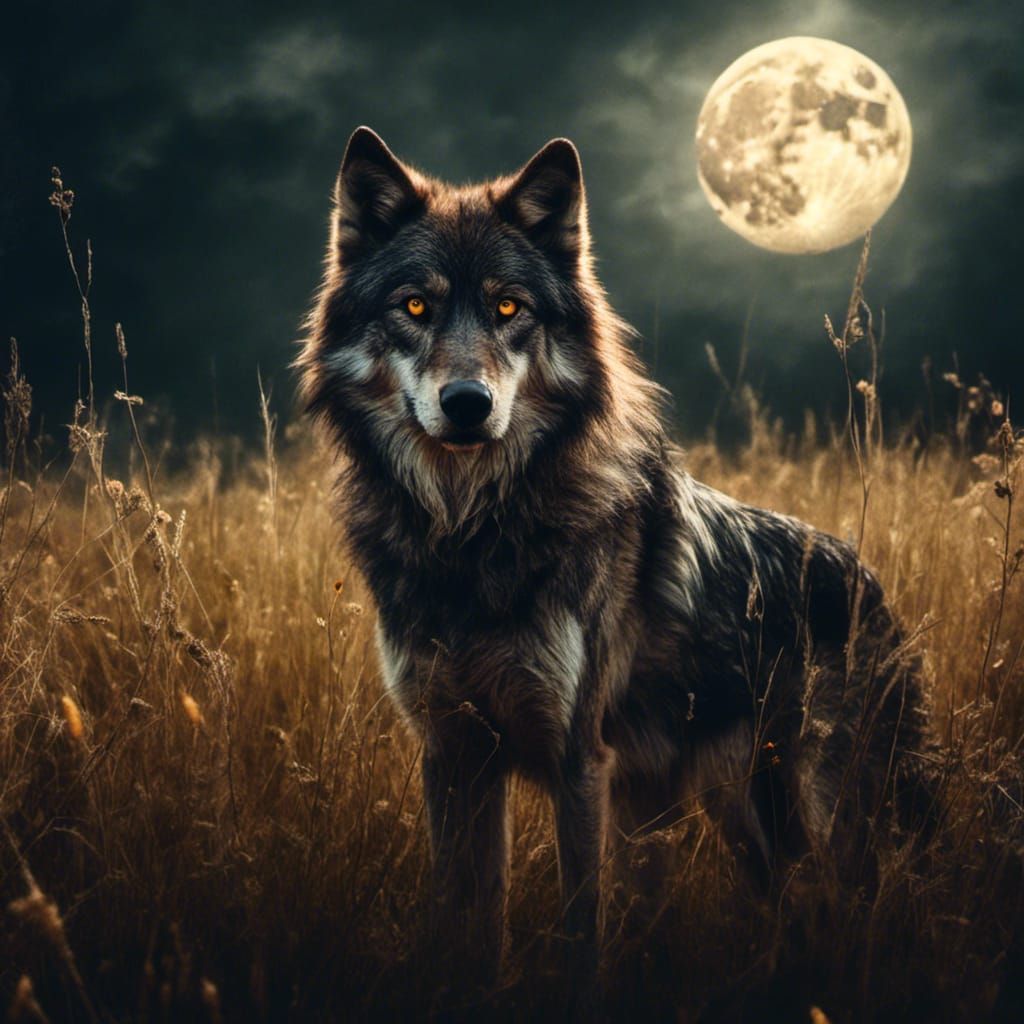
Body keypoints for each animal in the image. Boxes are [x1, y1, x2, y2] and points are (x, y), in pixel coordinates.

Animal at [297, 126, 930, 1011]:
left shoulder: (579, 761)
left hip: (827, 816)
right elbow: (466, 920)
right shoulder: (453, 755)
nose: (467, 404)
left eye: (508, 308)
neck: (471, 537)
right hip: (747, 821)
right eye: (415, 307)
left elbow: (580, 929)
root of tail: (867, 580)